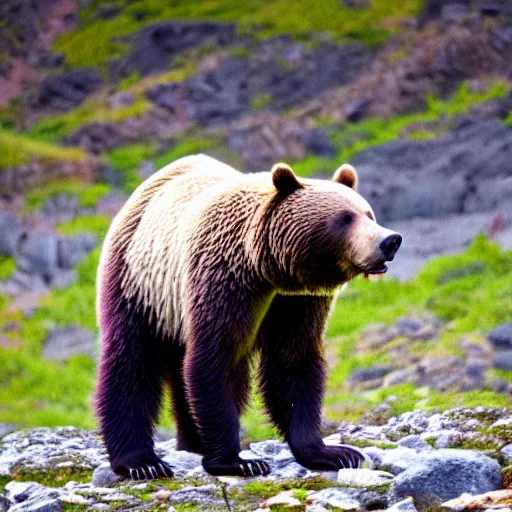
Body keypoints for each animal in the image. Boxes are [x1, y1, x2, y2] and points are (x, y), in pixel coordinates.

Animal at [95, 155, 400, 480]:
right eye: (345, 218)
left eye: (368, 213)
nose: (389, 241)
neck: (267, 270)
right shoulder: (223, 281)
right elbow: (216, 361)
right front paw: (237, 461)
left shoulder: (297, 301)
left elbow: (293, 362)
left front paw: (335, 453)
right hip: (141, 285)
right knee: (131, 363)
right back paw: (141, 462)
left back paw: (193, 443)